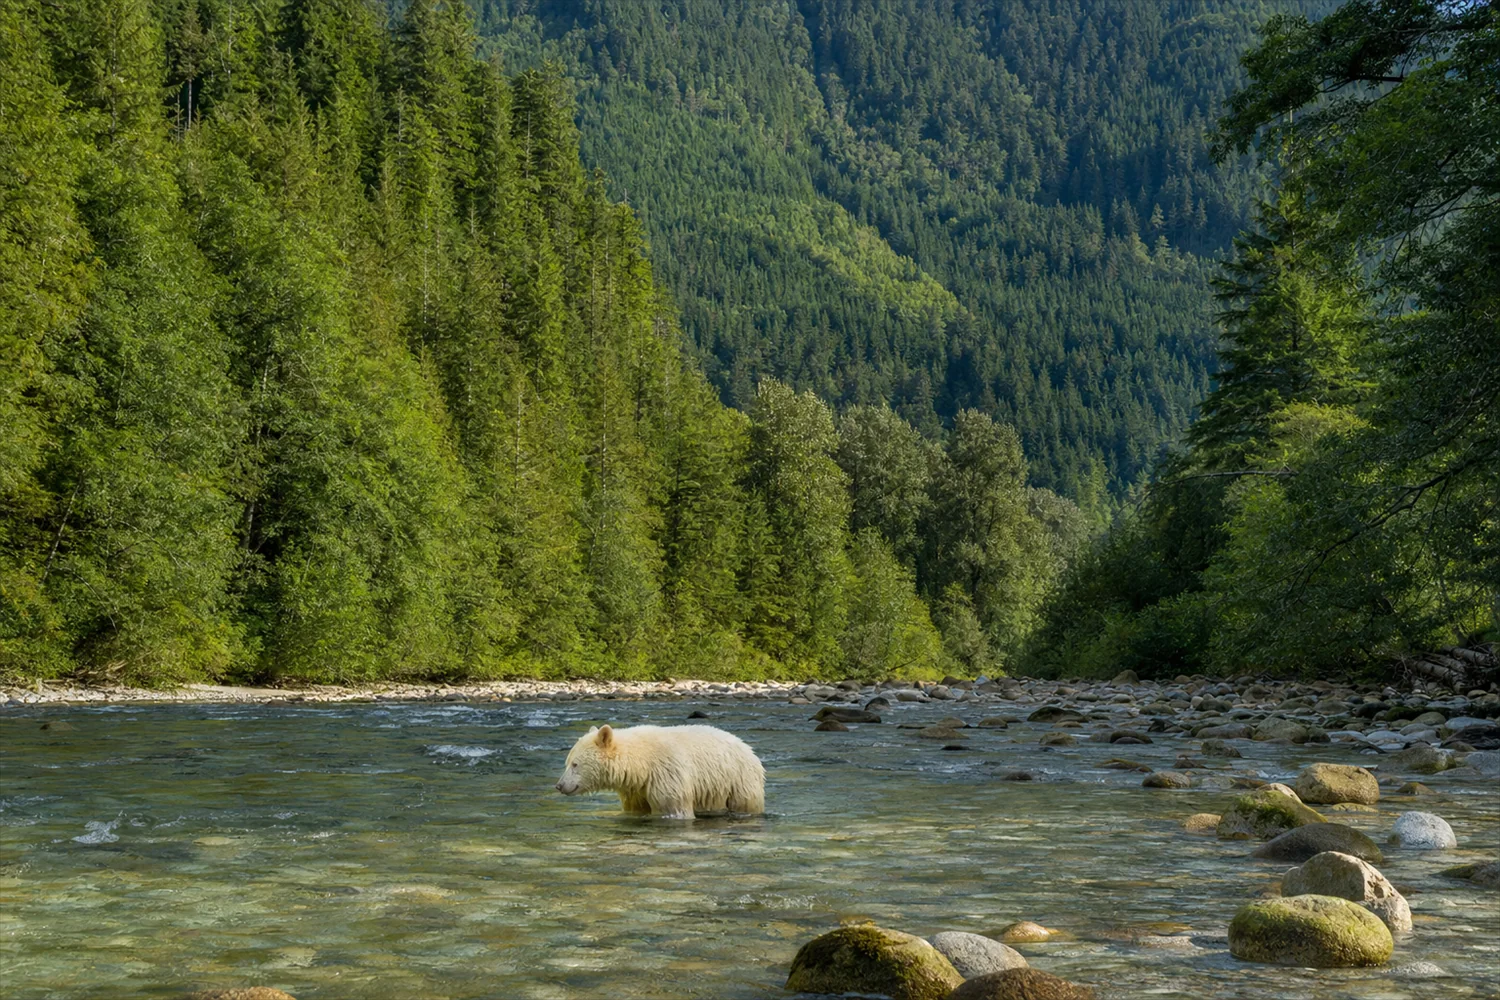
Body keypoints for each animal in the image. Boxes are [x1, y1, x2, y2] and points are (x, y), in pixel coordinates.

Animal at [554, 724, 765, 819]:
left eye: (575, 764)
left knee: (745, 803)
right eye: (567, 762)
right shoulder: (635, 789)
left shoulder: (666, 775)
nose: (559, 785)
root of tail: (747, 747)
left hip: (738, 779)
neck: (641, 765)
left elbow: (672, 807)